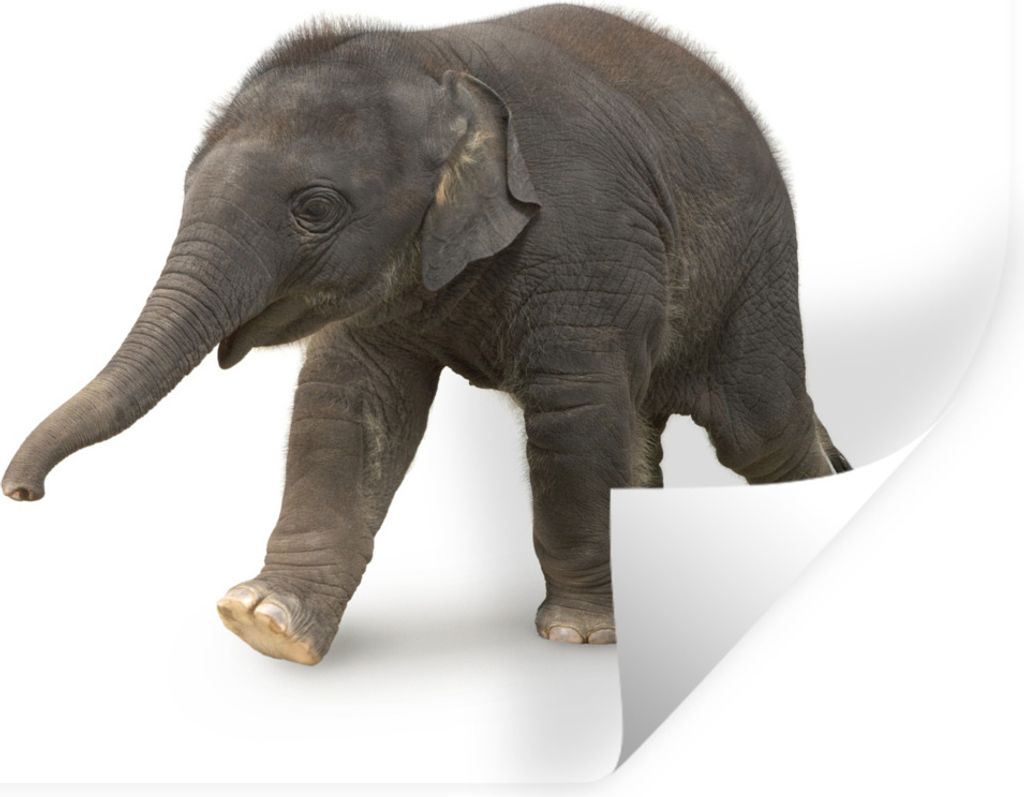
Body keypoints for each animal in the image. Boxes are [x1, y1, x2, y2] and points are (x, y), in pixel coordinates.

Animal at [3, 4, 850, 665]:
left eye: (315, 208)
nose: (20, 492)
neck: (439, 61)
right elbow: (349, 405)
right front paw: (264, 622)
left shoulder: (585, 240)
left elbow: (573, 415)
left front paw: (581, 636)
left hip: (753, 270)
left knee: (758, 427)